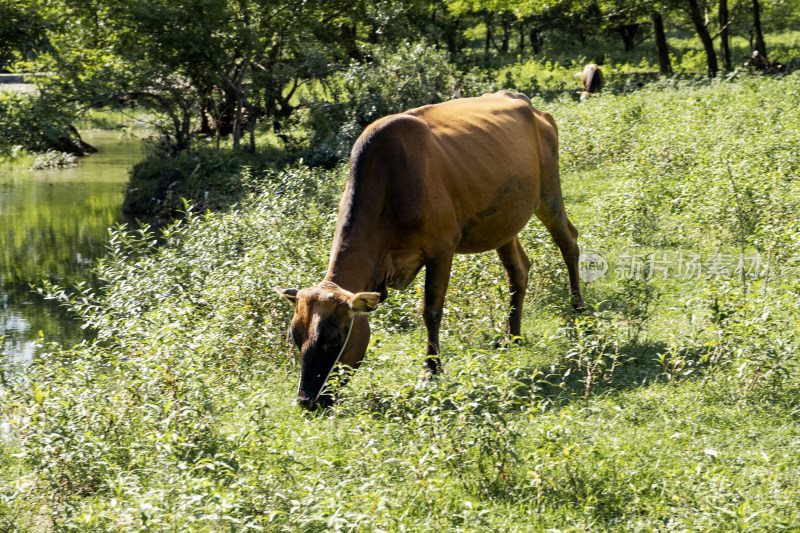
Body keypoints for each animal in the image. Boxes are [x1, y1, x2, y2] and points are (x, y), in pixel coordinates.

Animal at [278, 89, 584, 410]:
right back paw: (512, 336)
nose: (306, 400)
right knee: (518, 270)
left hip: (549, 194)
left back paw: (578, 307)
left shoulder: (442, 248)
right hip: (504, 223)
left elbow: (431, 309)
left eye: (333, 340)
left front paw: (432, 368)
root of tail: (525, 102)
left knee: (569, 241)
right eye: (295, 337)